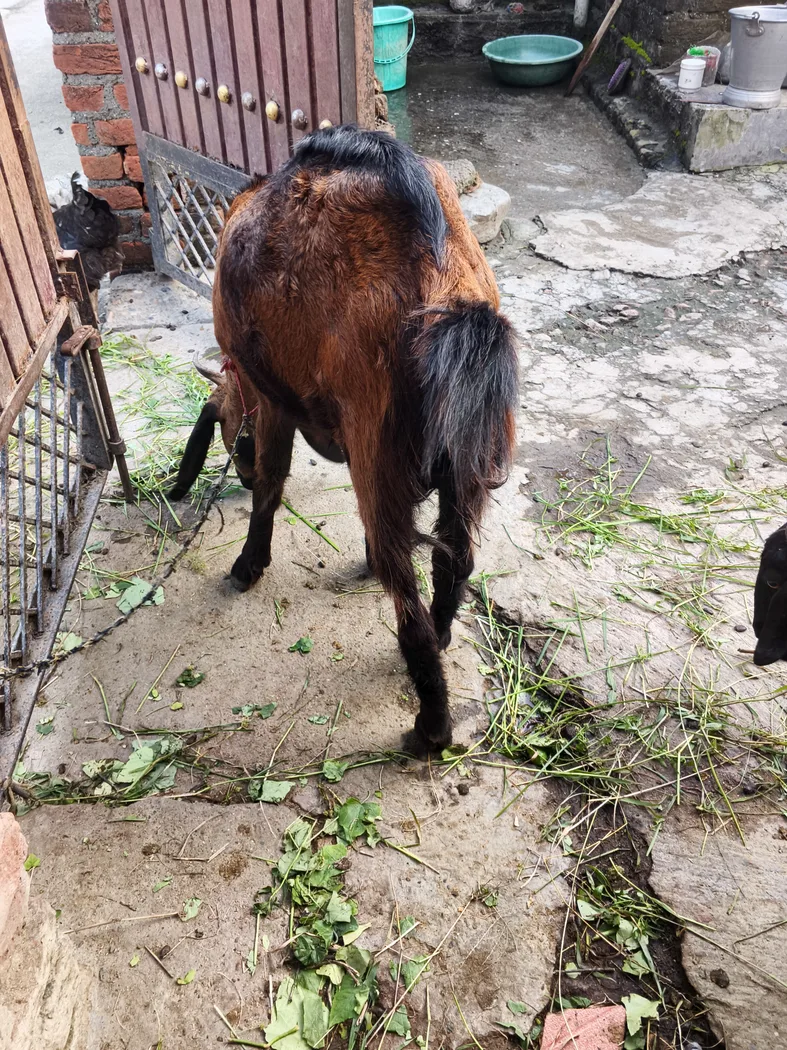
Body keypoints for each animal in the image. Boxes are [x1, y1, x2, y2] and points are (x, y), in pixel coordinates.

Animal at [171, 125, 519, 750]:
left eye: (234, 439)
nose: (237, 469)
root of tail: (446, 289)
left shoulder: (274, 399)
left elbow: (271, 485)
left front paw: (248, 565)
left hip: (377, 452)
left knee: (407, 601)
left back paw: (430, 730)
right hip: (467, 465)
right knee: (454, 562)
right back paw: (443, 636)